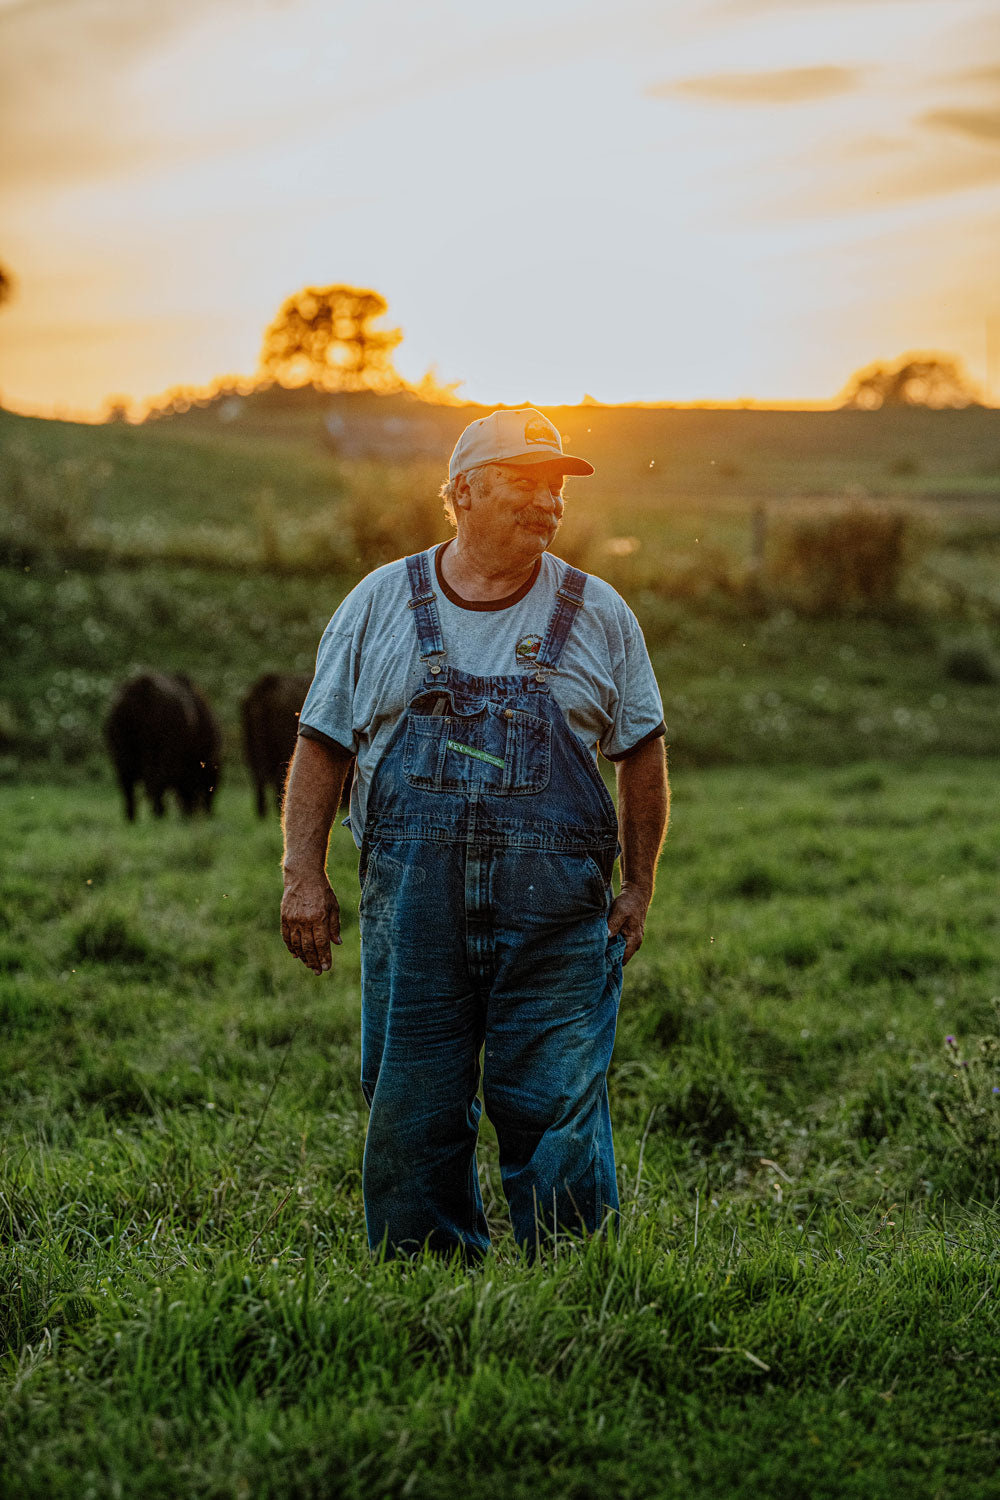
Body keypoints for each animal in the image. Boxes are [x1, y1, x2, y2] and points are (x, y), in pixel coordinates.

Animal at [105, 678, 220, 828]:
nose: (208, 813)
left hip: (123, 753)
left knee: (128, 786)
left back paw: (132, 818)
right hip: (161, 754)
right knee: (155, 782)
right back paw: (158, 814)